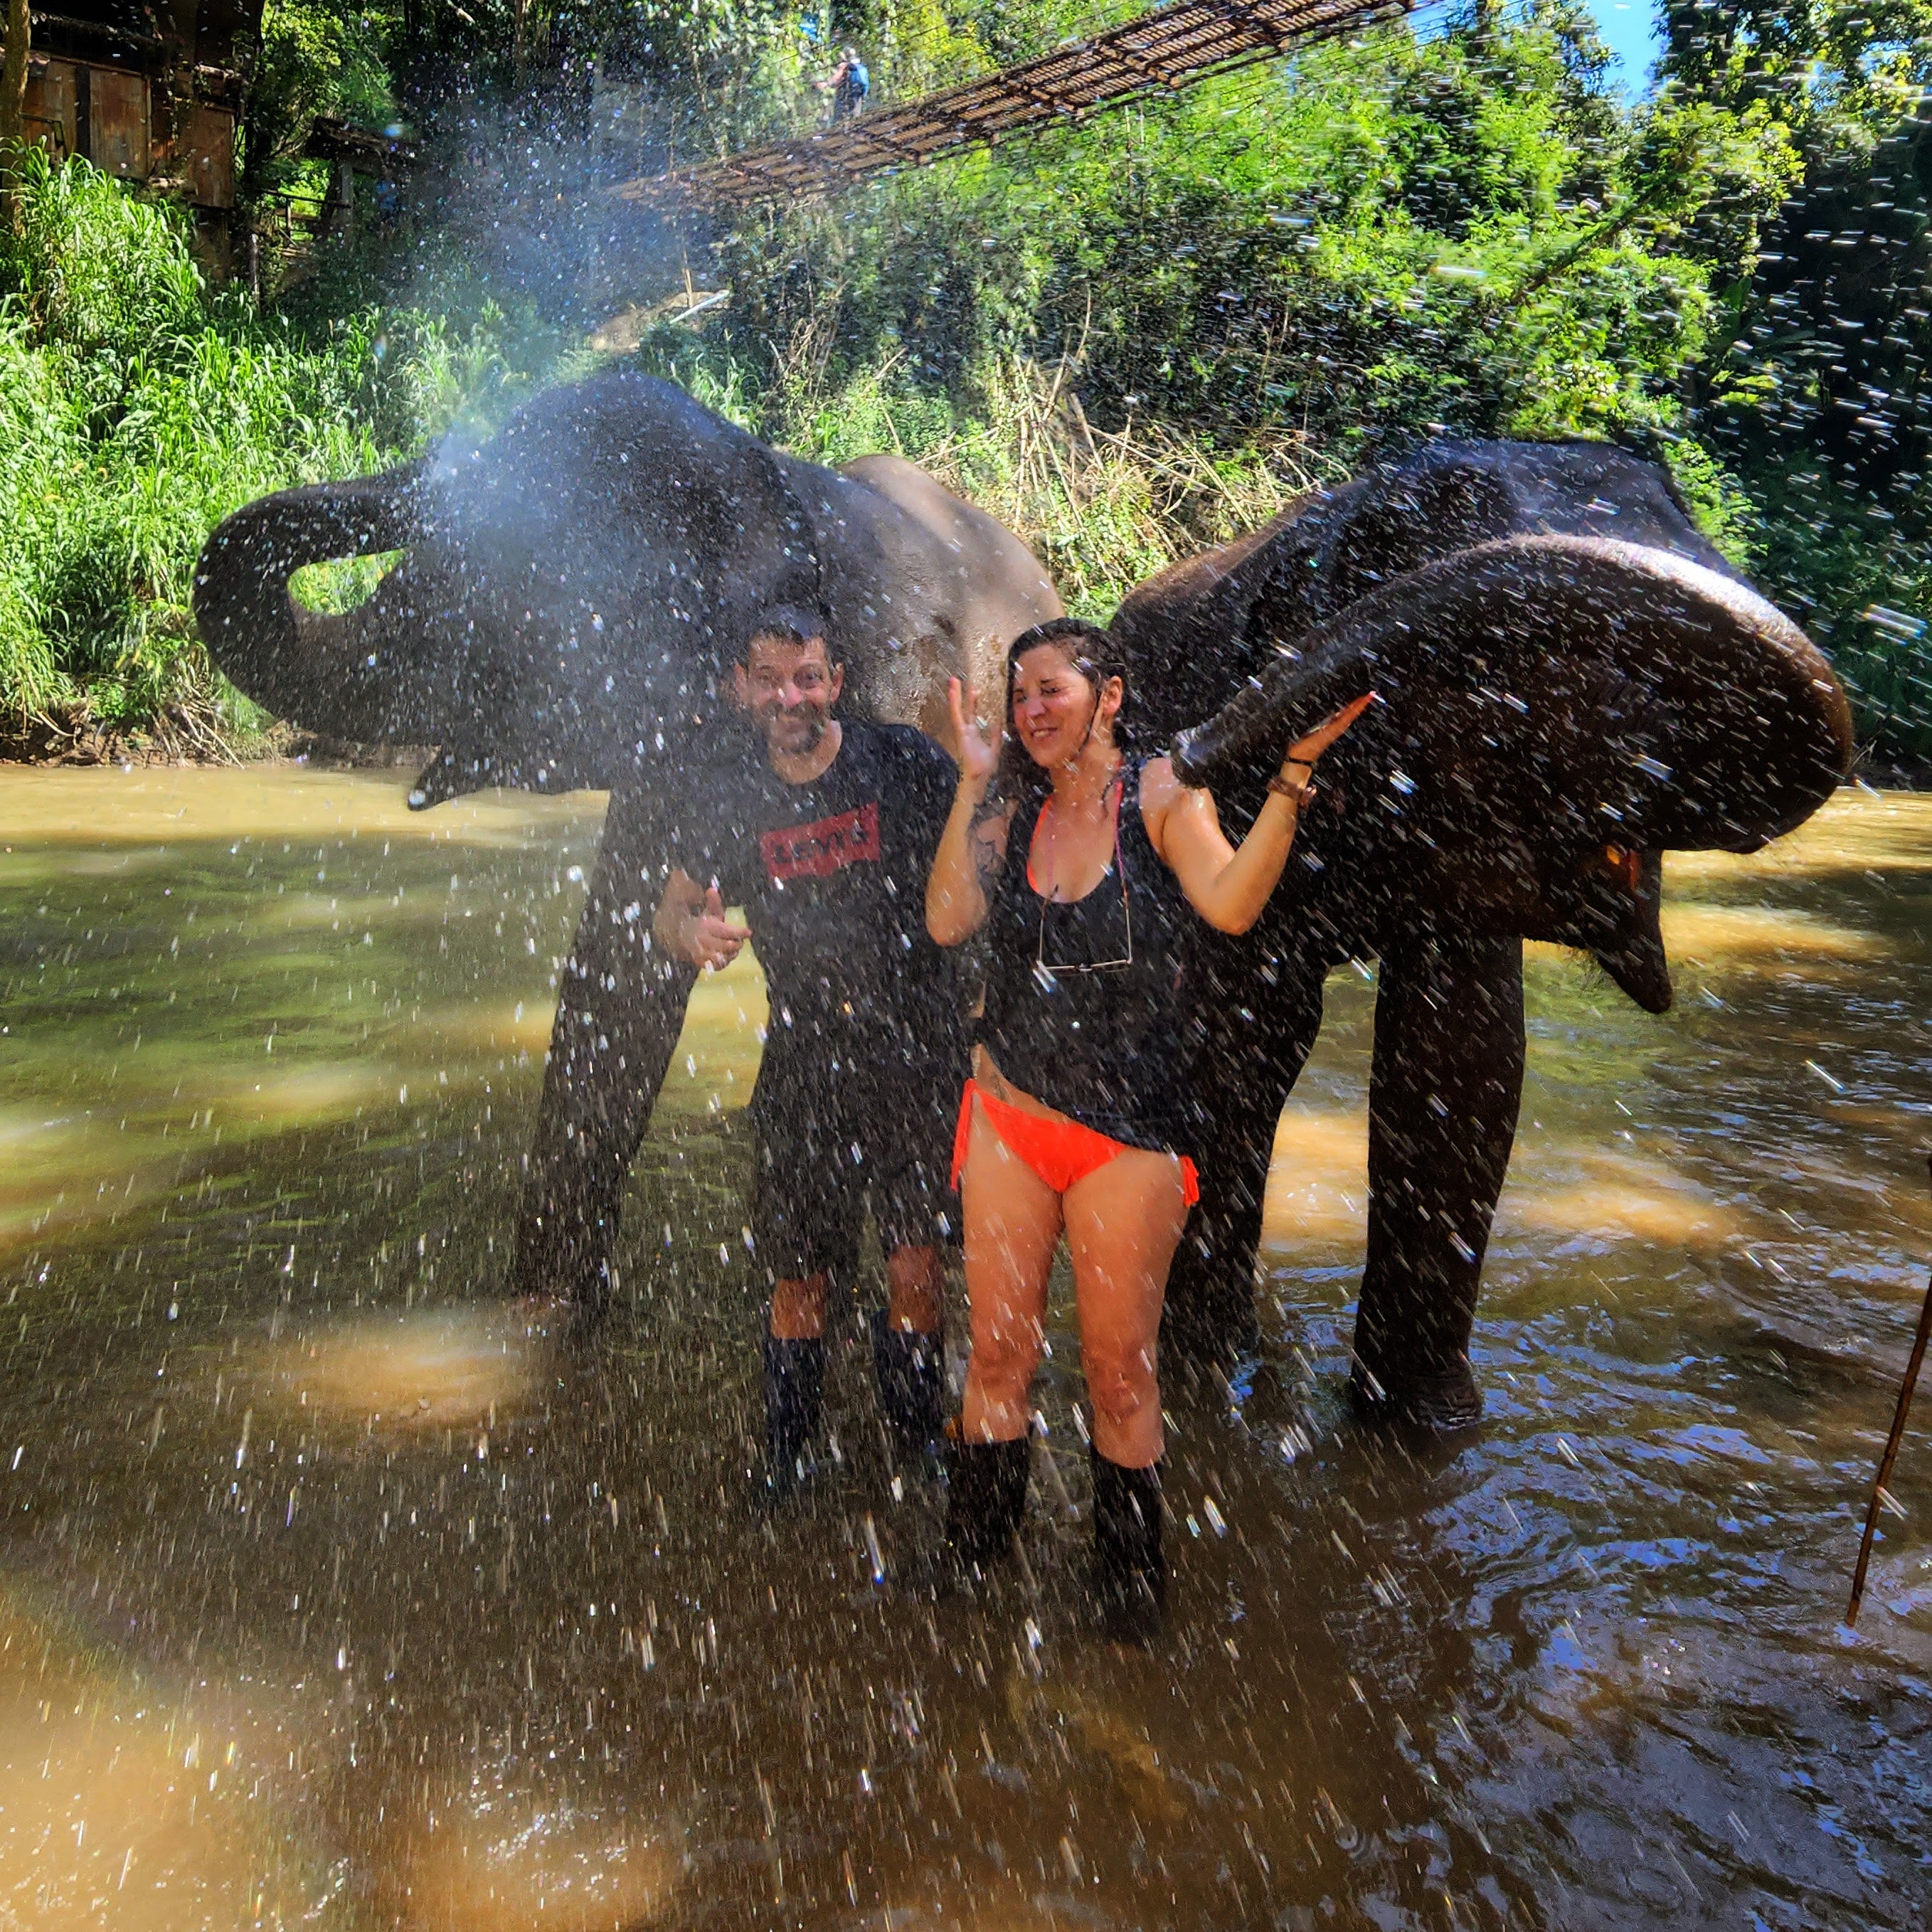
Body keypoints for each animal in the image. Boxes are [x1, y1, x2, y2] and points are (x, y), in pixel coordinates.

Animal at [188, 381, 1847, 1437]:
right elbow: (616, 979)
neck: (775, 485)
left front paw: (1393, 1428)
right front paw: (529, 1331)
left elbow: (1447, 1061)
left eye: (462, 602)